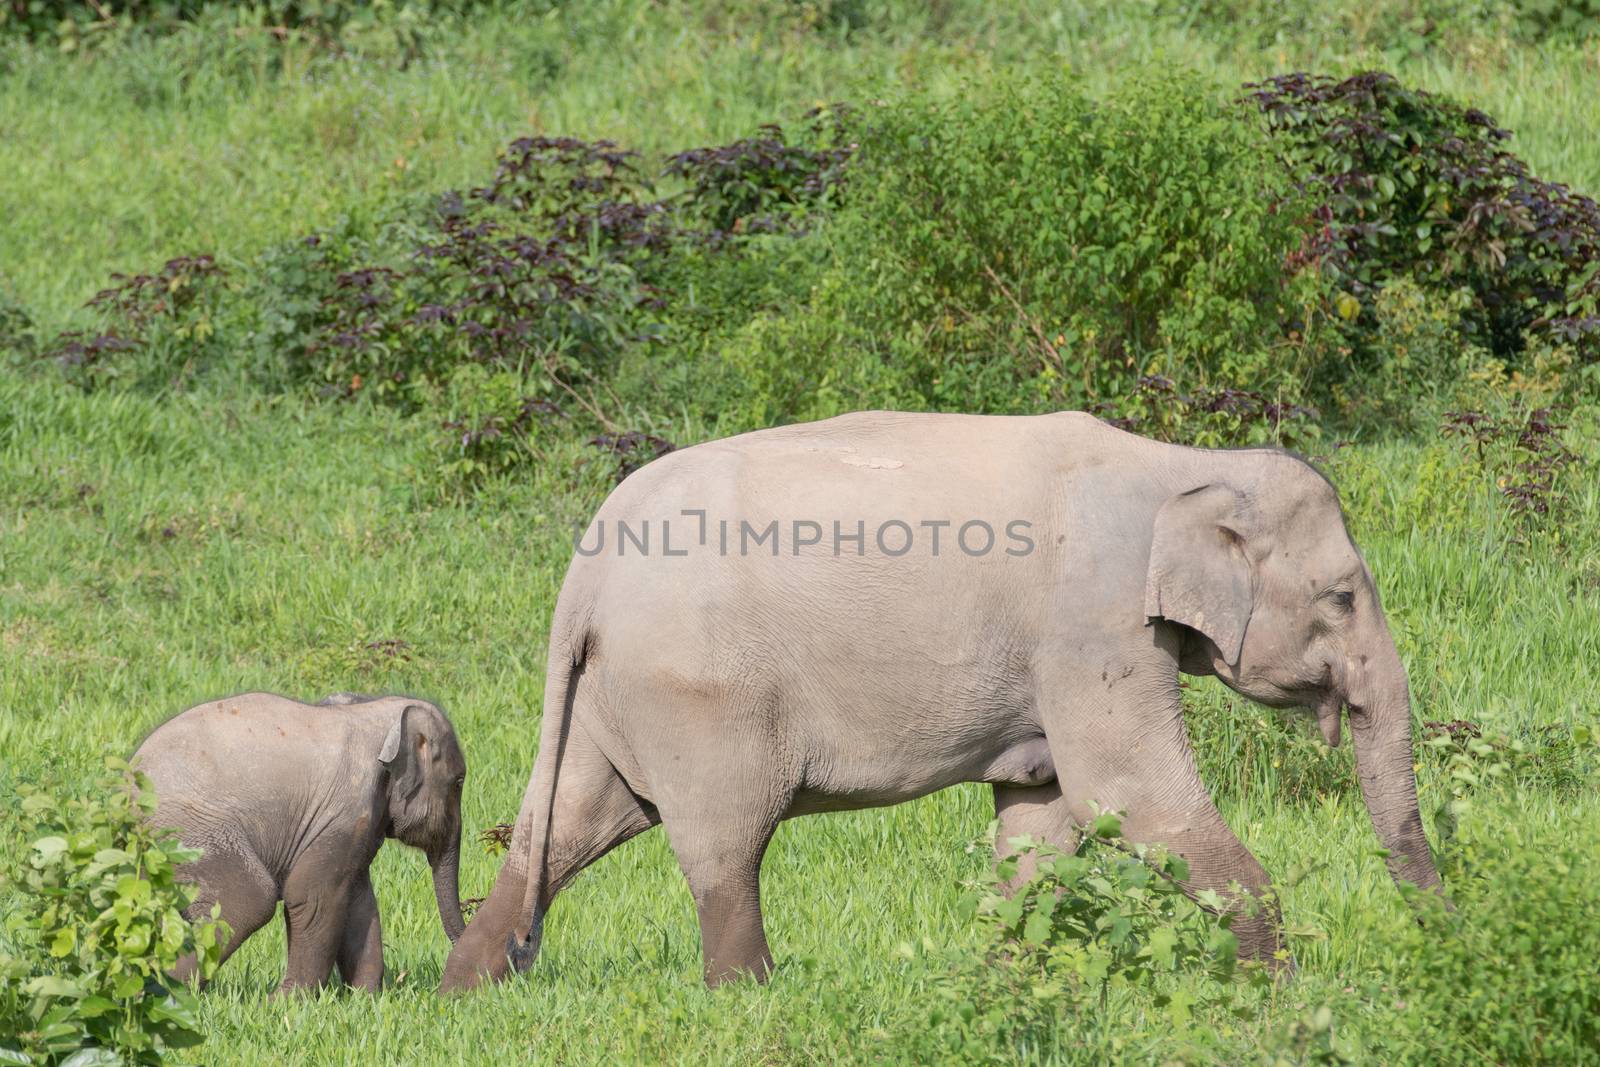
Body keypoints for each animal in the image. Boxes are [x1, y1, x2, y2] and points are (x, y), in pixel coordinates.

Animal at [134, 694, 467, 991]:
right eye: (459, 782)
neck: (373, 711)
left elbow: (357, 899)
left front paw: (364, 998)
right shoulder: (346, 811)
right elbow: (312, 896)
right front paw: (287, 1001)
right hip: (189, 834)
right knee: (251, 899)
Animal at [441, 412, 1452, 991]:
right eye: (1342, 597)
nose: (1441, 942)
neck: (1178, 464)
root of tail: (582, 575)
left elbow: (1043, 817)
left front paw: (1005, 978)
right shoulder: (1092, 624)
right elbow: (1128, 792)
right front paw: (1280, 995)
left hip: (609, 697)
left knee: (563, 826)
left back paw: (470, 987)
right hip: (697, 693)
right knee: (724, 844)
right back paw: (750, 995)